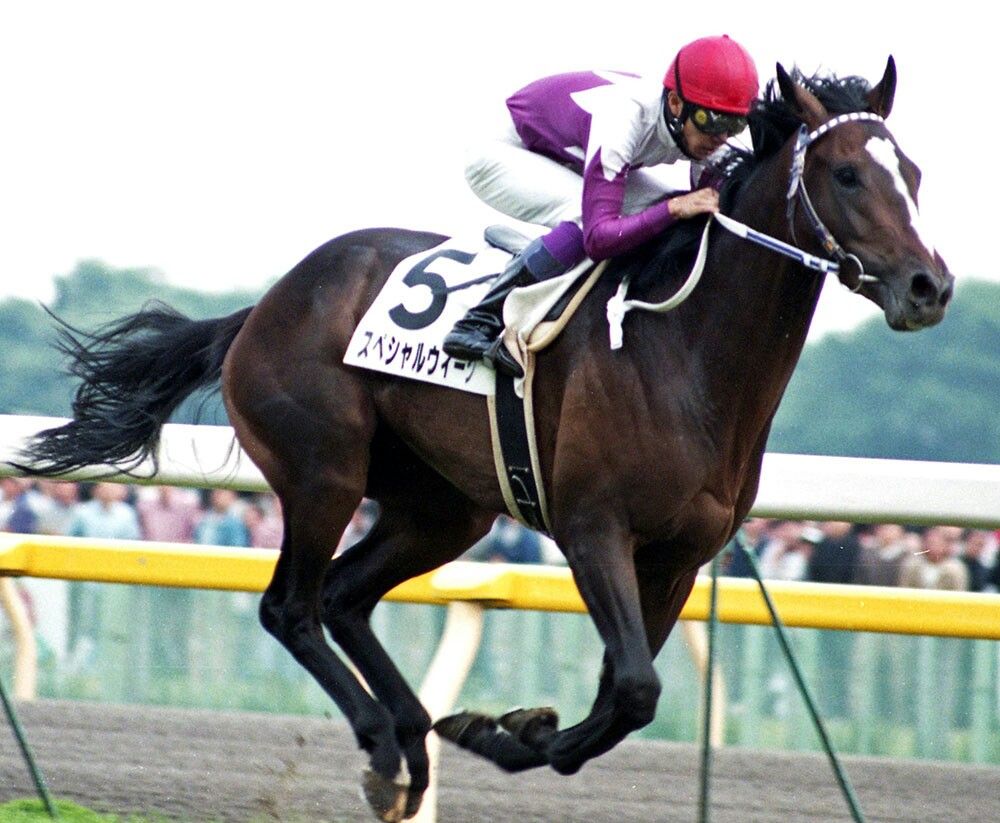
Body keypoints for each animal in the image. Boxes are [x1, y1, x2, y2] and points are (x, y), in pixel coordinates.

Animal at [16, 60, 952, 821]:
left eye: (909, 173)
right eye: (846, 173)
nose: (929, 285)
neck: (684, 350)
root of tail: (263, 307)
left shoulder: (681, 556)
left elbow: (621, 694)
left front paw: (507, 729)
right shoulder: (592, 527)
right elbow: (636, 688)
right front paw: (500, 729)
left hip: (444, 507)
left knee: (344, 596)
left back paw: (412, 733)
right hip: (324, 474)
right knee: (291, 605)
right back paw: (385, 747)